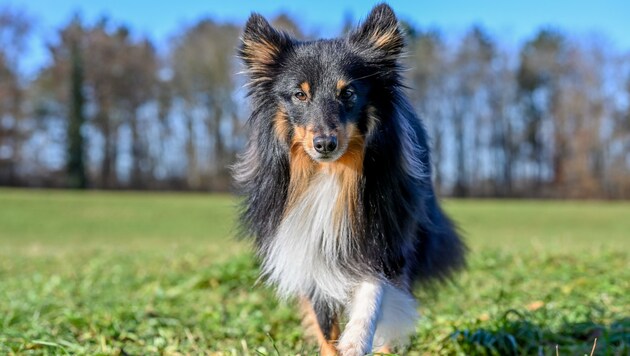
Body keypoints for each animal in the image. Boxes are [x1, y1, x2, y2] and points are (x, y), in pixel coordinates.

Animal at [235, 4, 466, 354]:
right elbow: (324, 324)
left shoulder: (384, 240)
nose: (325, 144)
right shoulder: (307, 249)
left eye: (349, 93)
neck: (330, 174)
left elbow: (372, 293)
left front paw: (357, 340)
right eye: (299, 95)